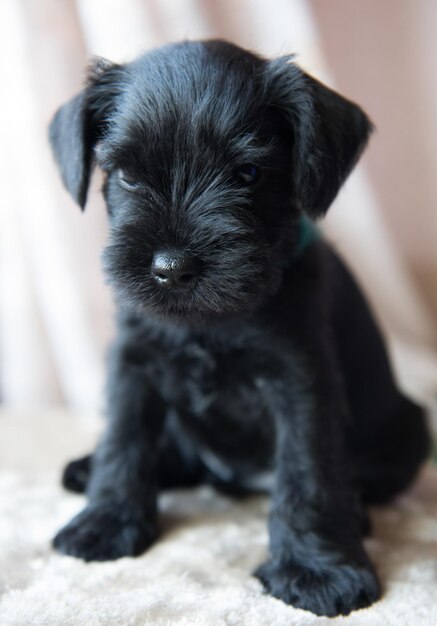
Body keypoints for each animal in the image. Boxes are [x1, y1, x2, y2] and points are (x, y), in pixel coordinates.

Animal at [48, 40, 430, 616]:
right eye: (127, 175)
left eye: (247, 173)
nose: (172, 268)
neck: (210, 322)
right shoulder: (134, 363)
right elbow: (123, 438)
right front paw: (105, 522)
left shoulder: (299, 381)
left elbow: (308, 473)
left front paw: (317, 570)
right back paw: (85, 469)